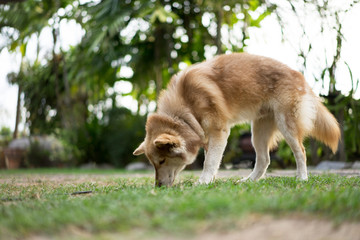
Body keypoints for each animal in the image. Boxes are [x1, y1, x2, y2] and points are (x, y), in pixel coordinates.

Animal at [133, 53, 340, 188]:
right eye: (153, 163)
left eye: (161, 161)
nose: (158, 187)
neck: (184, 107)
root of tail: (298, 75)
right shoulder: (206, 136)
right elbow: (212, 160)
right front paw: (210, 181)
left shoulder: (219, 132)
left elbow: (209, 162)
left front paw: (203, 182)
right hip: (257, 134)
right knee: (263, 160)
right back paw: (249, 181)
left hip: (286, 125)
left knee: (301, 152)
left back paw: (302, 178)